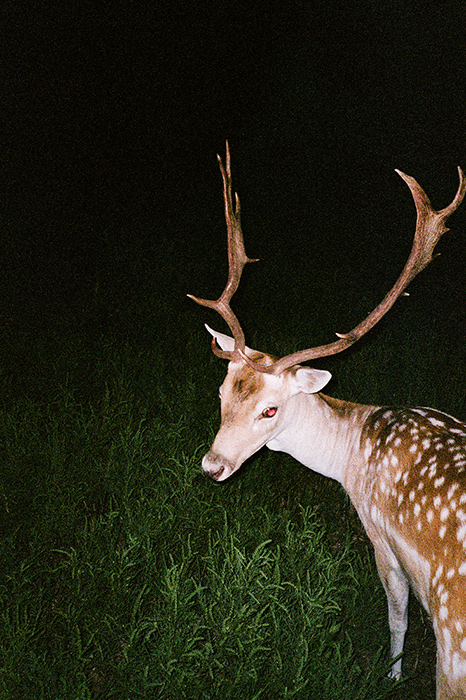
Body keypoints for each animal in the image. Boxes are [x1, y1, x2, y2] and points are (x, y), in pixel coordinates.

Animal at [188, 143, 466, 699]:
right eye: (222, 391)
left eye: (270, 409)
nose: (212, 465)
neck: (353, 452)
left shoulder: (381, 536)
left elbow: (397, 615)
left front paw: (391, 672)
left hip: (454, 637)